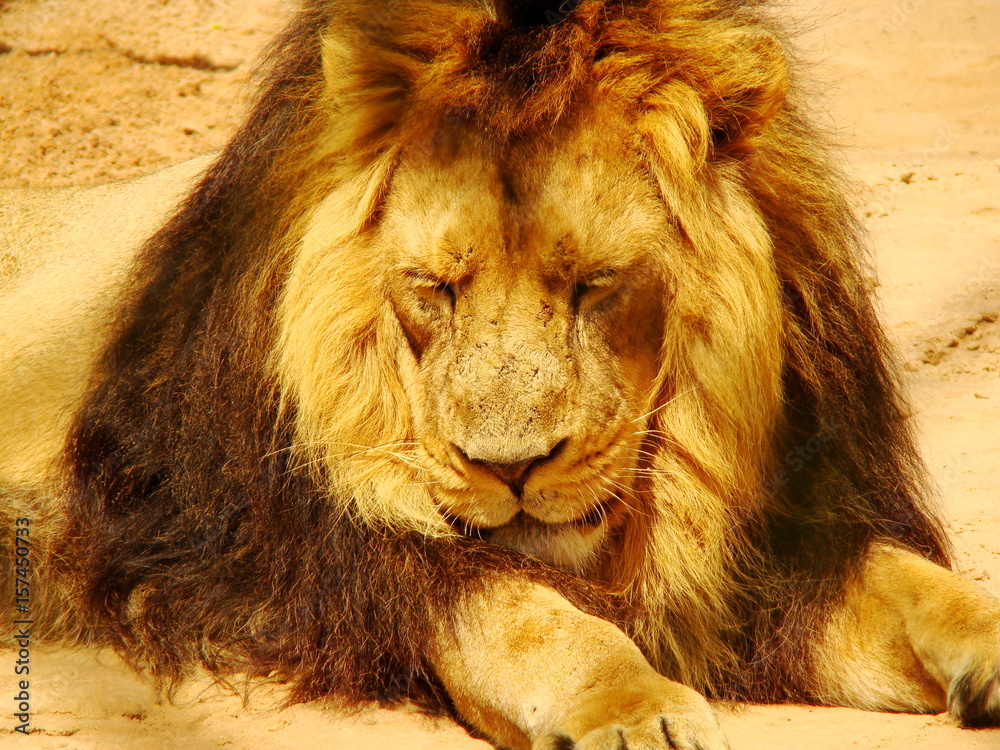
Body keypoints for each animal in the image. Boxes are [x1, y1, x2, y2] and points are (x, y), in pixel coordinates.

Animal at [2, 0, 999, 748]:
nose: (508, 469)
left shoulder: (785, 544)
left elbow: (915, 583)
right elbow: (523, 611)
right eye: (435, 287)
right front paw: (633, 708)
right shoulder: (318, 557)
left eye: (594, 284)